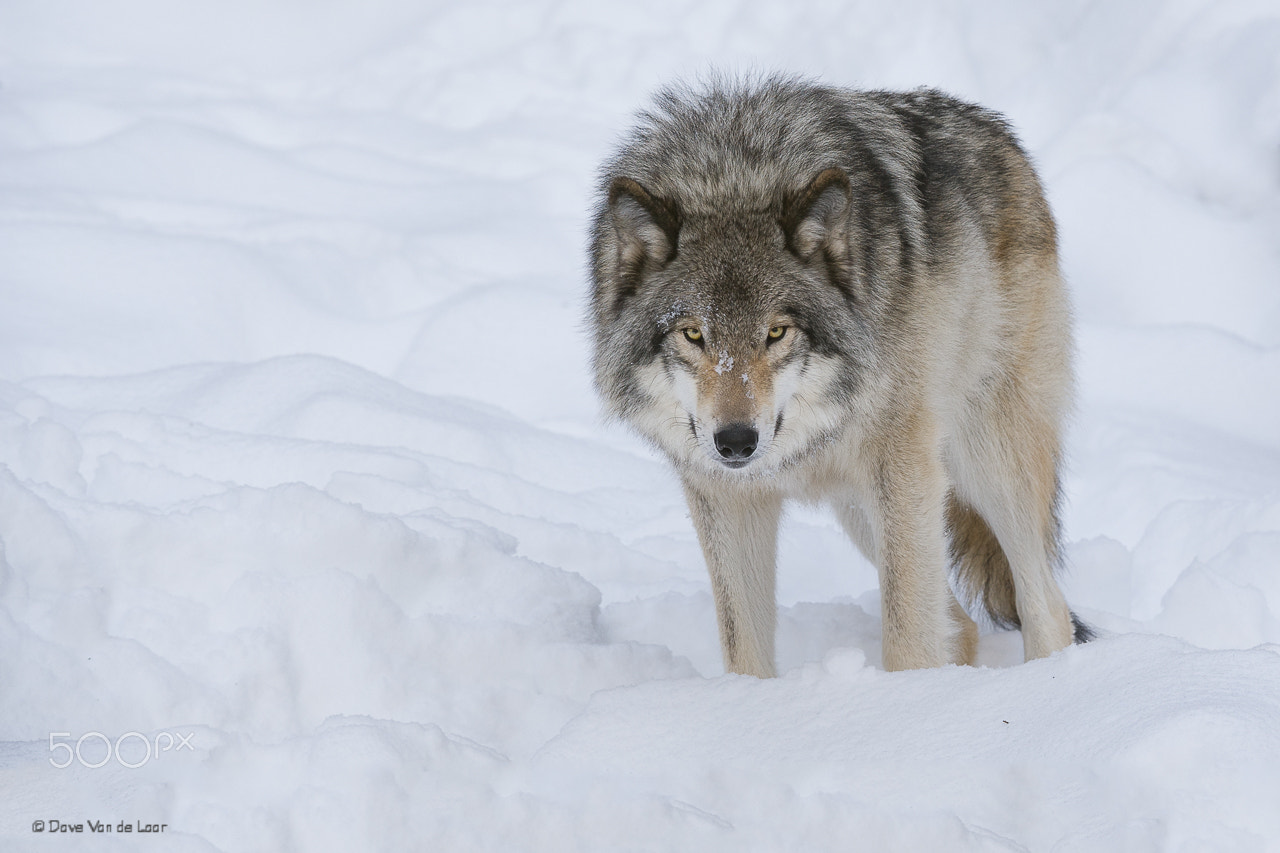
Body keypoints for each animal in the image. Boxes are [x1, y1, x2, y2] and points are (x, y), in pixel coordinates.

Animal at [588, 76, 1091, 678]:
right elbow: (745, 651)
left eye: (776, 332)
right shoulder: (725, 498)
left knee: (1045, 608)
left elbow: (907, 640)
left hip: (980, 458)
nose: (735, 441)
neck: (733, 173)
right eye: (692, 334)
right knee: (963, 623)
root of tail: (1001, 136)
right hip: (868, 505)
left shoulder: (903, 473)